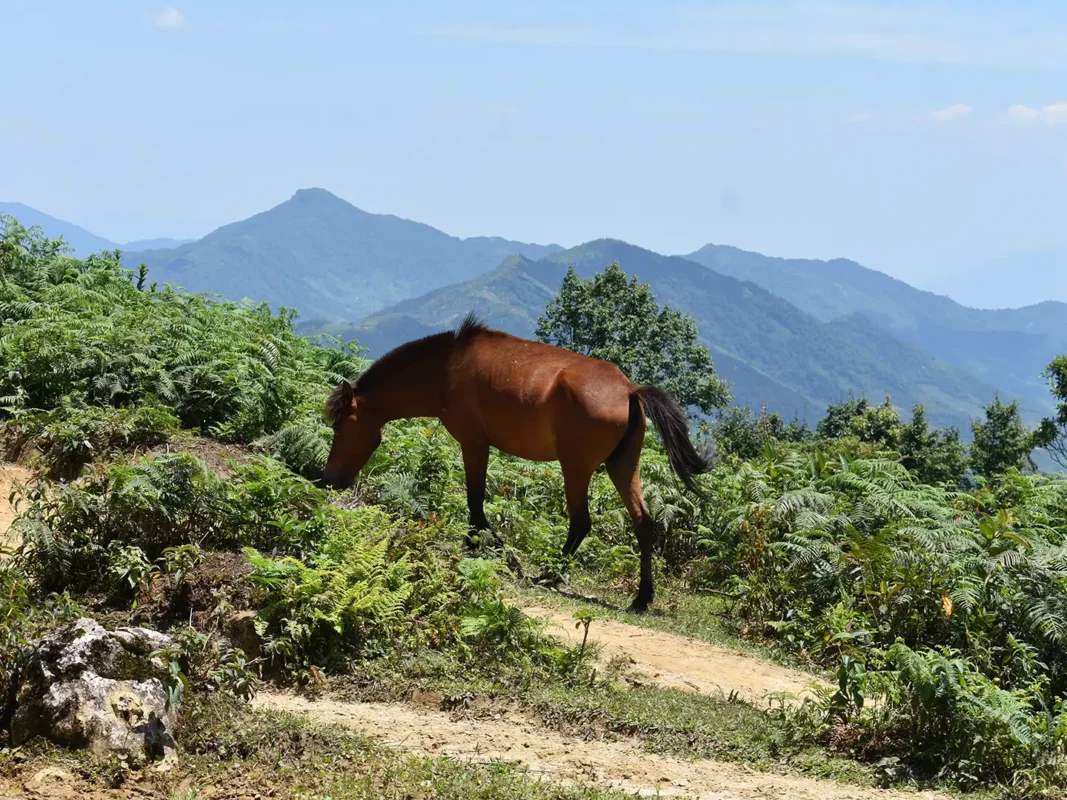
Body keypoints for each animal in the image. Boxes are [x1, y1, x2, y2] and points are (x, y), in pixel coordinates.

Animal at [324, 315, 708, 614]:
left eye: (339, 426)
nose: (328, 479)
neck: (446, 369)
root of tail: (629, 390)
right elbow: (476, 504)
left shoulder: (474, 443)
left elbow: (475, 502)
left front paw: (489, 548)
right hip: (623, 466)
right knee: (643, 522)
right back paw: (641, 598)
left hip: (576, 467)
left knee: (581, 522)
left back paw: (550, 575)